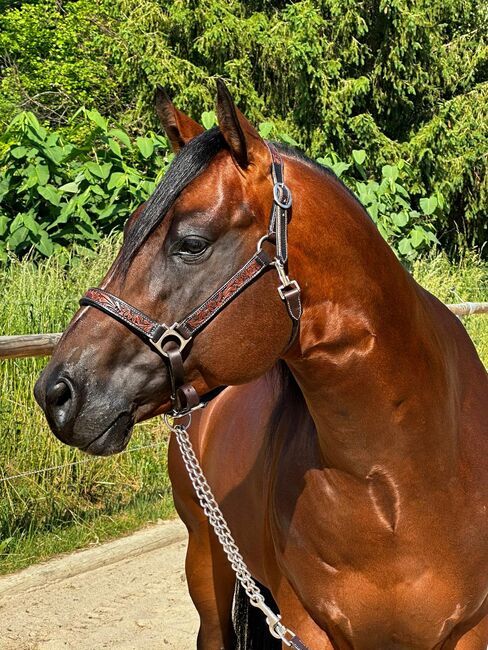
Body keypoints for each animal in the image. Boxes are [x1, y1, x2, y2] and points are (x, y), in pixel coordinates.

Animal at [35, 82, 488, 648]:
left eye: (192, 244)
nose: (56, 392)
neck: (399, 487)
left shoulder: (471, 629)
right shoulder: (307, 626)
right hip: (206, 562)